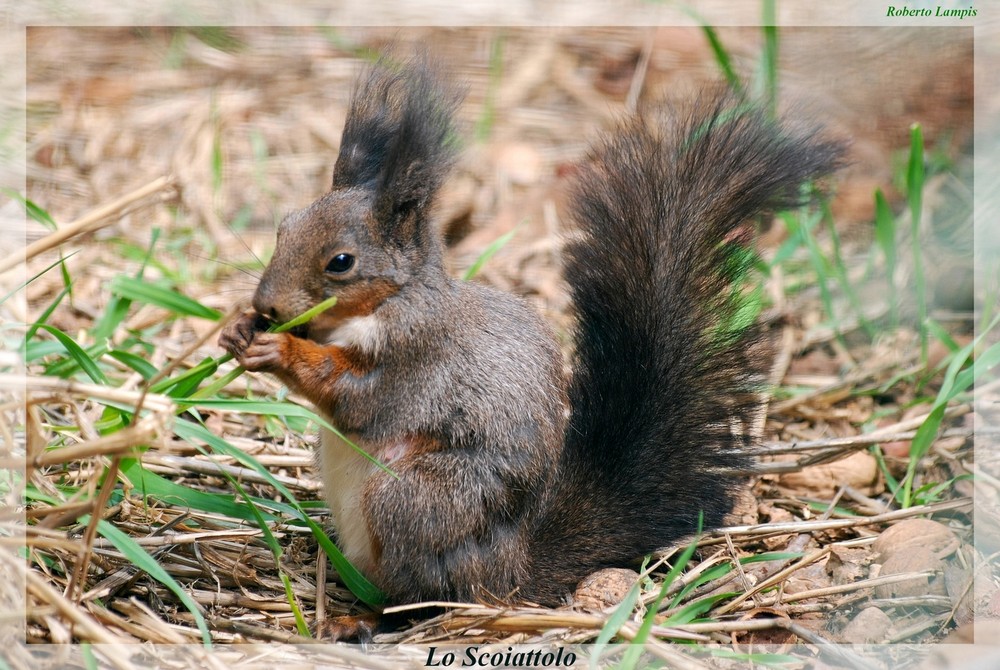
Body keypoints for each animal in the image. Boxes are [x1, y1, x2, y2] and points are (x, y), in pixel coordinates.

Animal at [221, 55, 844, 632]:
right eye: (283, 226)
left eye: (341, 262)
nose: (267, 305)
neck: (380, 305)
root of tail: (511, 573)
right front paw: (237, 328)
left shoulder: (415, 358)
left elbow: (354, 395)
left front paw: (279, 351)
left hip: (413, 504)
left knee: (427, 597)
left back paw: (370, 621)